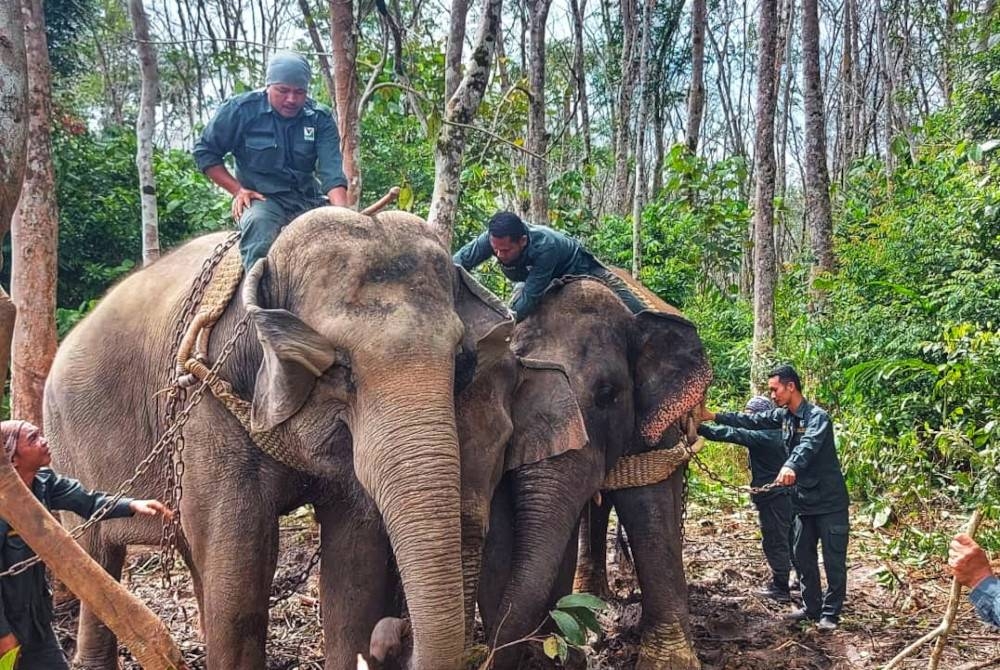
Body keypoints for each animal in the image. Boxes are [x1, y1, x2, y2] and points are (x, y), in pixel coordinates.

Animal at [43, 207, 520, 668]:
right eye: (338, 366)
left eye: (460, 361)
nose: (395, 635)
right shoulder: (206, 400)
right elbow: (239, 574)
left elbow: (355, 568)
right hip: (66, 440)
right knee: (96, 551)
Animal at [478, 276, 712, 668]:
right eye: (511, 392)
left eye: (607, 394)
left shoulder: (652, 419)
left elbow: (647, 502)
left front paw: (668, 662)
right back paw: (591, 594)